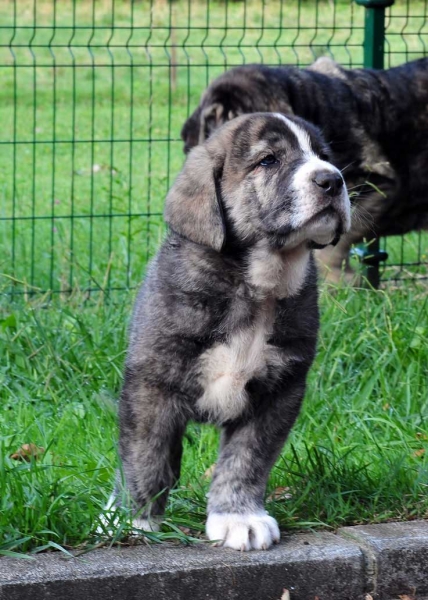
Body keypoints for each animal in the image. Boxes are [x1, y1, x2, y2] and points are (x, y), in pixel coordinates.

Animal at [105, 112, 350, 548]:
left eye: (324, 156)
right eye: (268, 160)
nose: (332, 180)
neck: (255, 285)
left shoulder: (280, 390)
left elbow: (247, 459)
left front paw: (239, 517)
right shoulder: (152, 382)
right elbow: (145, 453)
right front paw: (134, 520)